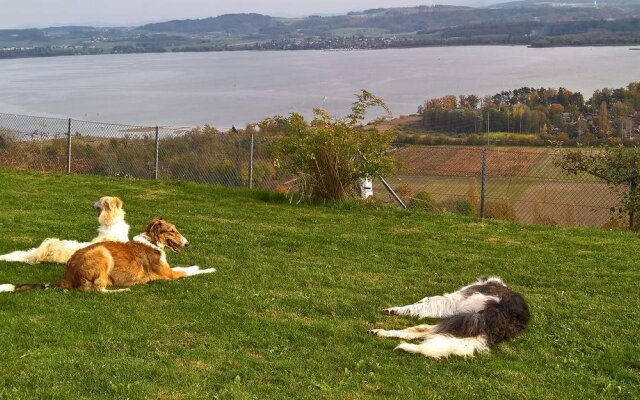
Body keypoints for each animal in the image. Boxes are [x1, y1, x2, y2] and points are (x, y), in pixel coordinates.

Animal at [0, 217, 215, 292]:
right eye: (172, 231)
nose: (188, 243)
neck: (152, 242)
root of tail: (67, 277)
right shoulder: (169, 275)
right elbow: (189, 271)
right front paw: (210, 268)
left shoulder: (168, 270)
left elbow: (186, 267)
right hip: (102, 252)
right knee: (96, 289)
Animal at [370, 278, 528, 360]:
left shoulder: (453, 301)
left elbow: (424, 304)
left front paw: (392, 309)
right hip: (466, 323)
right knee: (426, 331)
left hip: (465, 317)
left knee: (422, 328)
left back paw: (379, 331)